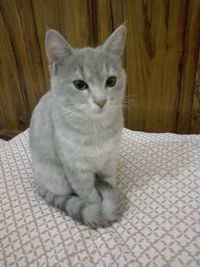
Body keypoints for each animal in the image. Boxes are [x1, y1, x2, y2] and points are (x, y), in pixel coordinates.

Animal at [29, 24, 126, 228]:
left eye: (111, 81)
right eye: (80, 84)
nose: (101, 101)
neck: (97, 129)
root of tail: (38, 182)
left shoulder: (109, 163)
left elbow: (110, 183)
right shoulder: (77, 171)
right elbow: (91, 197)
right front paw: (100, 210)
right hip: (56, 178)